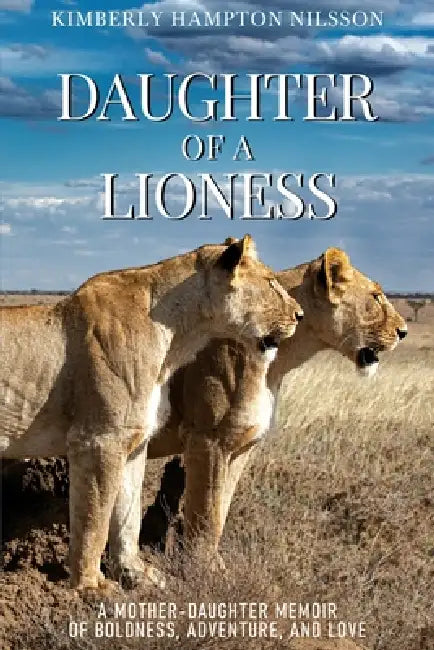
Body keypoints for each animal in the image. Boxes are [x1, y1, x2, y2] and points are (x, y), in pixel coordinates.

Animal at [0, 235, 304, 590]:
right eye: (271, 283)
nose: (299, 315)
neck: (177, 339)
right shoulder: (99, 440)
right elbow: (94, 521)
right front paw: (91, 587)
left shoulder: (134, 440)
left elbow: (127, 517)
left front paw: (135, 573)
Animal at [145, 247, 408, 562]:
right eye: (376, 296)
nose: (404, 331)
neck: (276, 363)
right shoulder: (207, 439)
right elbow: (206, 511)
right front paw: (201, 568)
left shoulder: (240, 445)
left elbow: (220, 509)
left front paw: (213, 565)